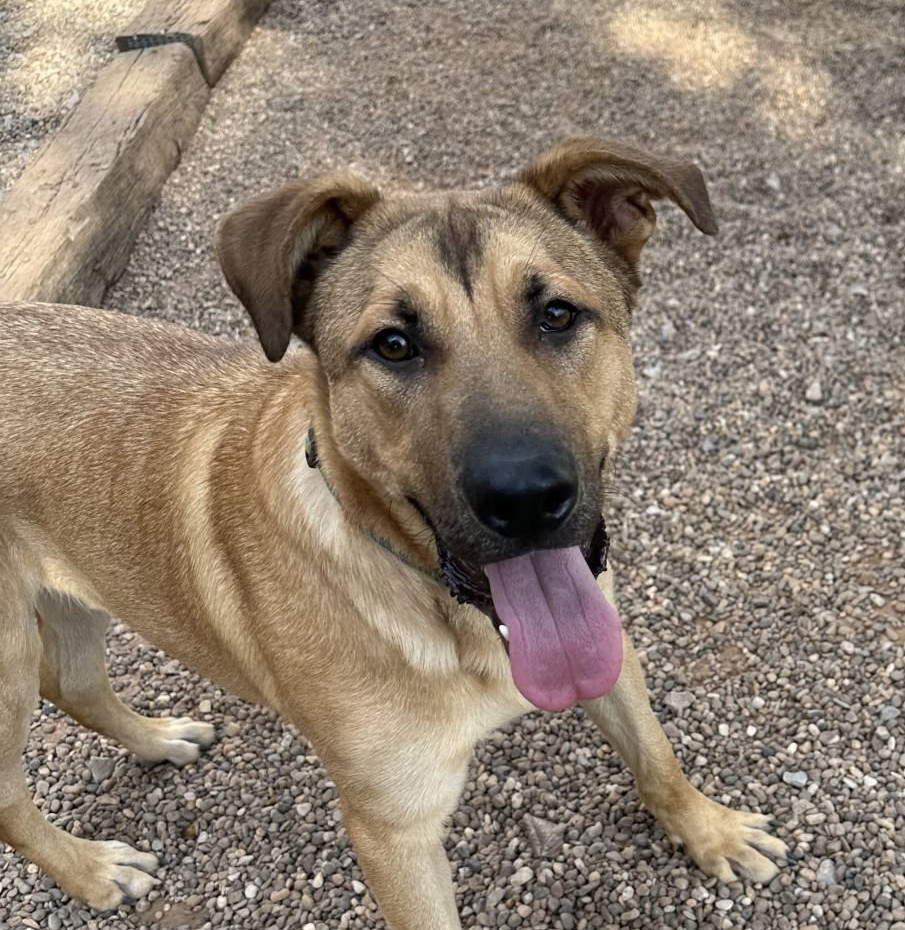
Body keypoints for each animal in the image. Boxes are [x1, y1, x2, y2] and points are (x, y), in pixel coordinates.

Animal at [0, 140, 788, 928]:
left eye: (558, 314)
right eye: (394, 344)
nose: (527, 498)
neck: (455, 617)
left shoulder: (605, 641)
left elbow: (656, 755)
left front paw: (708, 829)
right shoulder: (393, 832)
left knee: (75, 684)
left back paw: (157, 740)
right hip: (8, 669)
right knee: (13, 797)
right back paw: (92, 869)